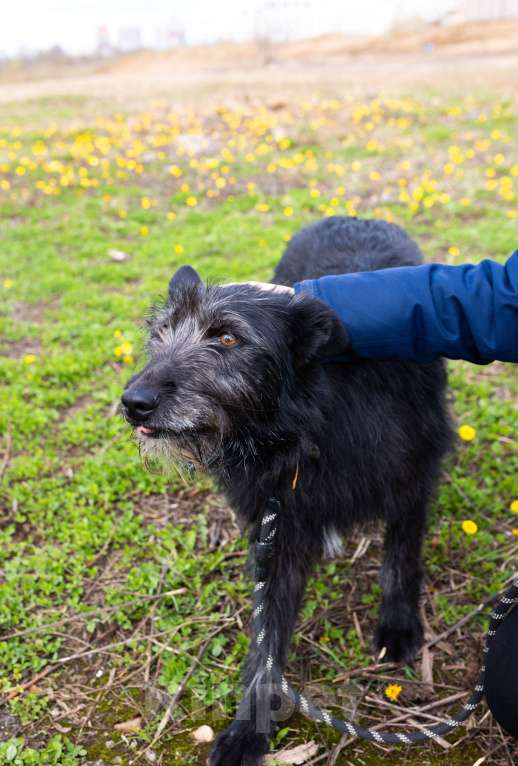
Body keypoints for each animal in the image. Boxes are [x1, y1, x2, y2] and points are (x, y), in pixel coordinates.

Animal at [122, 218, 456, 766]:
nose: (133, 403)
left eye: (228, 337)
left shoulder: (411, 478)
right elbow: (267, 635)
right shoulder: (277, 525)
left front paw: (399, 622)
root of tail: (353, 217)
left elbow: (400, 556)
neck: (307, 426)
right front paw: (250, 726)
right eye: (162, 333)